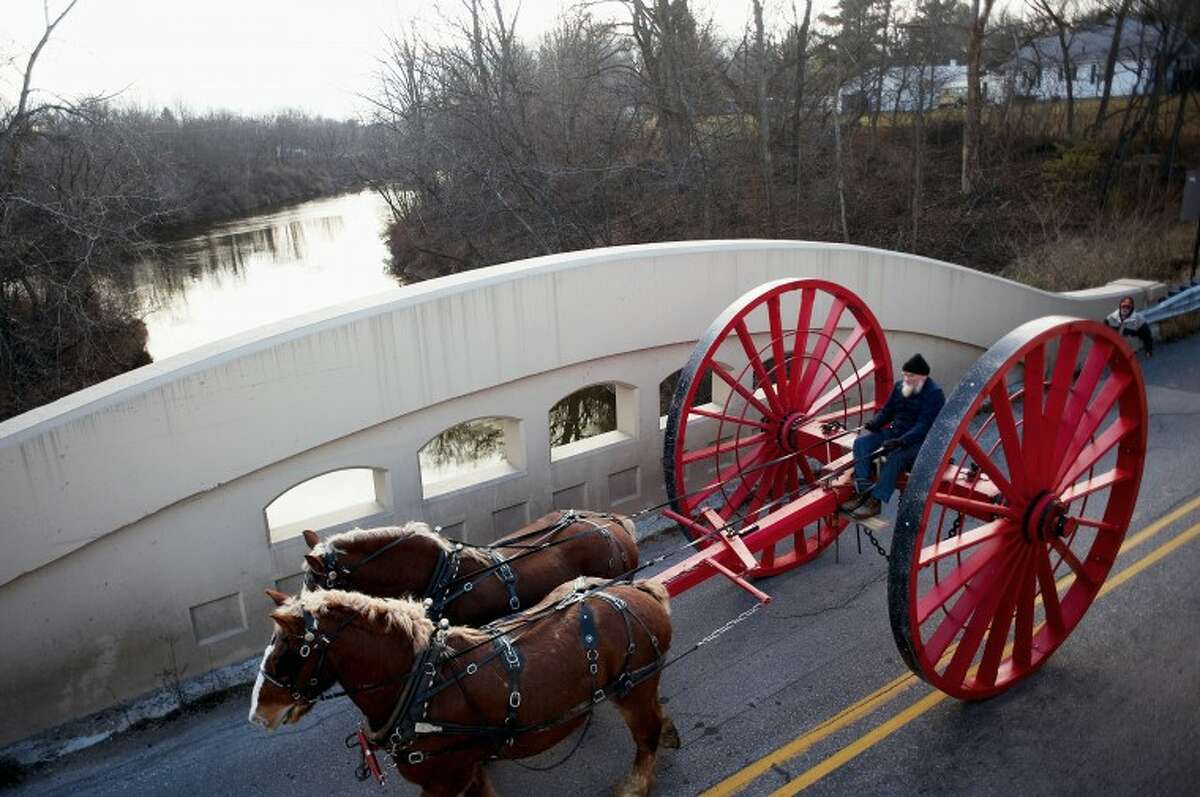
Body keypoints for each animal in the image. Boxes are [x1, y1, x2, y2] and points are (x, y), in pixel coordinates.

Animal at [250, 578, 676, 797]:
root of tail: (635, 590)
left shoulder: (445, 779)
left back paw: (637, 783)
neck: (420, 684)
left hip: (632, 689)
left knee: (646, 734)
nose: (257, 714)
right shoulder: (468, 769)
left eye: (286, 655)